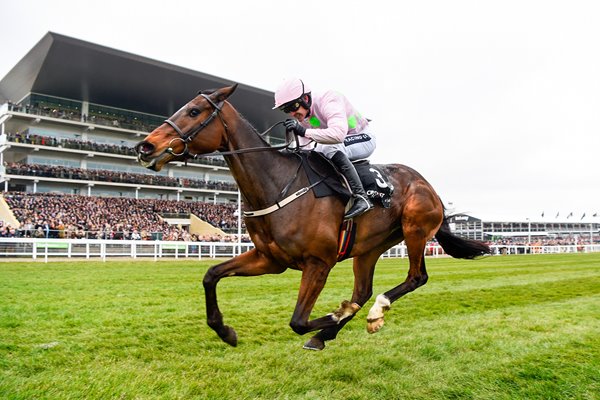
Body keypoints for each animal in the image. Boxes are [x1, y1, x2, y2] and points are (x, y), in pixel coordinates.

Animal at [134, 83, 490, 350]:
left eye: (194, 111)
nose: (145, 147)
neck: (277, 185)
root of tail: (429, 186)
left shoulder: (319, 262)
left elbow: (298, 321)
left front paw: (335, 315)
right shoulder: (269, 259)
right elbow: (211, 275)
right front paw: (225, 331)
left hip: (415, 228)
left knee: (416, 277)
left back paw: (373, 312)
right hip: (369, 247)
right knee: (363, 291)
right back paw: (329, 332)